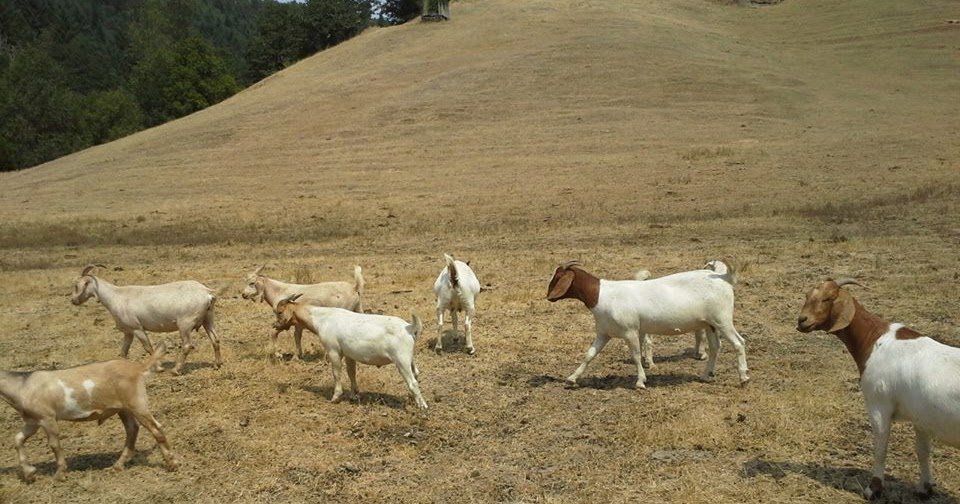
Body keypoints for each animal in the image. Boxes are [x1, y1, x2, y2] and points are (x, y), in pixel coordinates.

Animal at [0, 344, 178, 481]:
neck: (22, 385)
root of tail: (139, 368)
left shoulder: (47, 418)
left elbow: (54, 444)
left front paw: (59, 474)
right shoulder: (33, 420)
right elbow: (18, 439)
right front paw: (29, 474)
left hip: (136, 402)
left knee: (155, 428)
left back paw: (172, 463)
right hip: (124, 408)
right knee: (132, 429)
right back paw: (117, 465)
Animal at [71, 265, 221, 375]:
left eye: (78, 285)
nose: (73, 301)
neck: (116, 296)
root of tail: (207, 293)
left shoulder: (137, 328)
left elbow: (148, 347)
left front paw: (159, 368)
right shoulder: (128, 331)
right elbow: (123, 351)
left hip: (185, 323)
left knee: (187, 345)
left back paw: (176, 370)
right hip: (208, 318)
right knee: (215, 340)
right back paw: (217, 365)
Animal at [273, 294, 427, 410]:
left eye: (279, 312)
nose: (274, 325)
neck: (322, 318)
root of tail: (410, 327)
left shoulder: (333, 351)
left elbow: (337, 373)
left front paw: (336, 397)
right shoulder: (349, 354)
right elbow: (351, 372)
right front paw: (354, 395)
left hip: (401, 360)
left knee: (413, 382)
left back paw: (422, 406)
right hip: (409, 359)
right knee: (416, 373)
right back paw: (412, 399)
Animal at [547, 260, 749, 388]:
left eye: (557, 277)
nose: (548, 297)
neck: (601, 295)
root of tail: (724, 277)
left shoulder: (630, 331)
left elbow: (636, 356)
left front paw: (640, 382)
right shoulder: (604, 333)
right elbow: (589, 355)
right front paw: (571, 379)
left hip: (722, 319)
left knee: (739, 343)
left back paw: (744, 378)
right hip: (709, 324)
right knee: (715, 347)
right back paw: (705, 375)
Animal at [797, 278, 960, 500]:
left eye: (827, 298)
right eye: (807, 295)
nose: (802, 320)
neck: (876, 339)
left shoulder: (879, 405)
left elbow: (880, 450)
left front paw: (873, 489)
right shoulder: (922, 418)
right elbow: (923, 452)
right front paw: (924, 488)